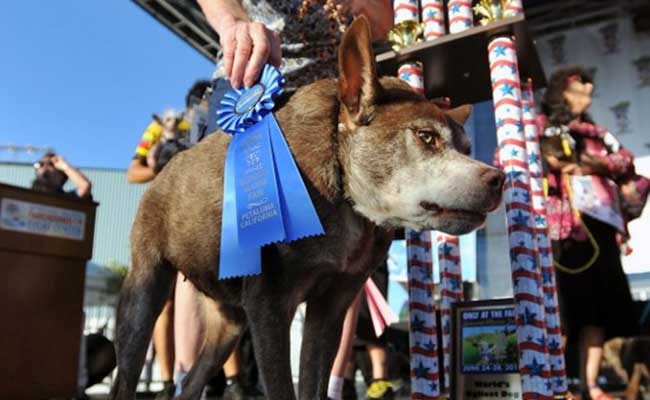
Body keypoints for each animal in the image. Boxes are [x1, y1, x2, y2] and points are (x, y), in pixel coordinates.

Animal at [111, 17, 504, 398]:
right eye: (426, 137)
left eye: (467, 149)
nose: (498, 179)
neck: (345, 193)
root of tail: (165, 171)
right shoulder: (269, 305)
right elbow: (283, 386)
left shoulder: (330, 308)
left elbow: (314, 379)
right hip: (145, 294)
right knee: (126, 376)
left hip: (230, 324)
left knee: (192, 382)